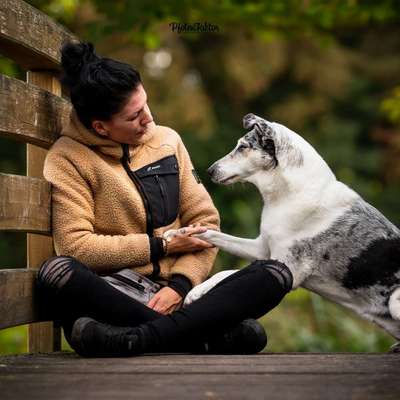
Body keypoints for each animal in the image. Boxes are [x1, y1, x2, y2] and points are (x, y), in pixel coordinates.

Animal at [165, 112, 400, 350]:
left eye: (243, 147)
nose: (209, 171)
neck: (289, 195)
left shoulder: (287, 267)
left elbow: (229, 273)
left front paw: (196, 291)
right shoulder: (260, 248)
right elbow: (212, 236)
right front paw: (177, 235)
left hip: (395, 301)